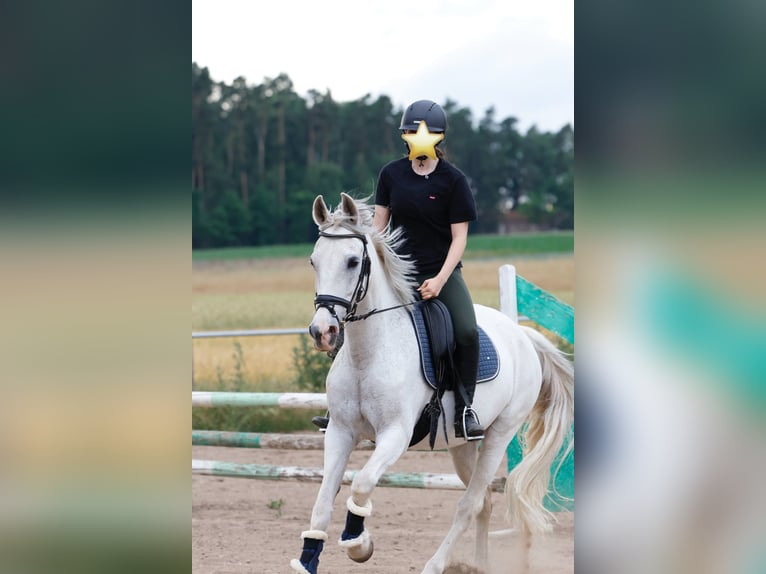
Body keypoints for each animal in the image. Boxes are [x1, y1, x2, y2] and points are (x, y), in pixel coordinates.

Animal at [290, 193, 574, 574]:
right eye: (314, 260)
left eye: (353, 261)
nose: (323, 331)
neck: (371, 352)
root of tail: (522, 336)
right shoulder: (339, 431)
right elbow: (321, 503)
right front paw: (308, 559)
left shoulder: (395, 434)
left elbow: (362, 483)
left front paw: (358, 544)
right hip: (462, 445)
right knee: (483, 501)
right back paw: (480, 564)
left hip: (499, 434)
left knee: (469, 504)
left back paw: (435, 564)